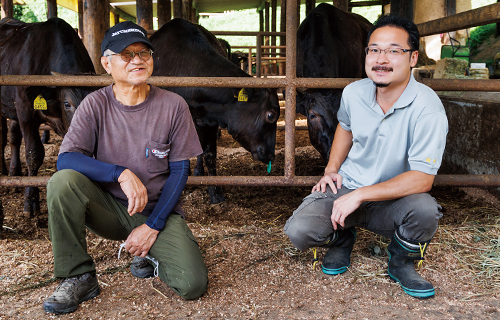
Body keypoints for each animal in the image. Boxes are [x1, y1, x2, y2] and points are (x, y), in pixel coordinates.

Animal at [0, 18, 95, 216]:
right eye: (67, 104)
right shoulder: (25, 111)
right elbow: (33, 153)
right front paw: (31, 201)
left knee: (13, 137)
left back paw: (15, 174)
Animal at [148, 20, 282, 204]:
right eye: (270, 115)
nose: (271, 154)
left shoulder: (210, 121)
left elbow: (209, 154)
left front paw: (215, 192)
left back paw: (198, 173)